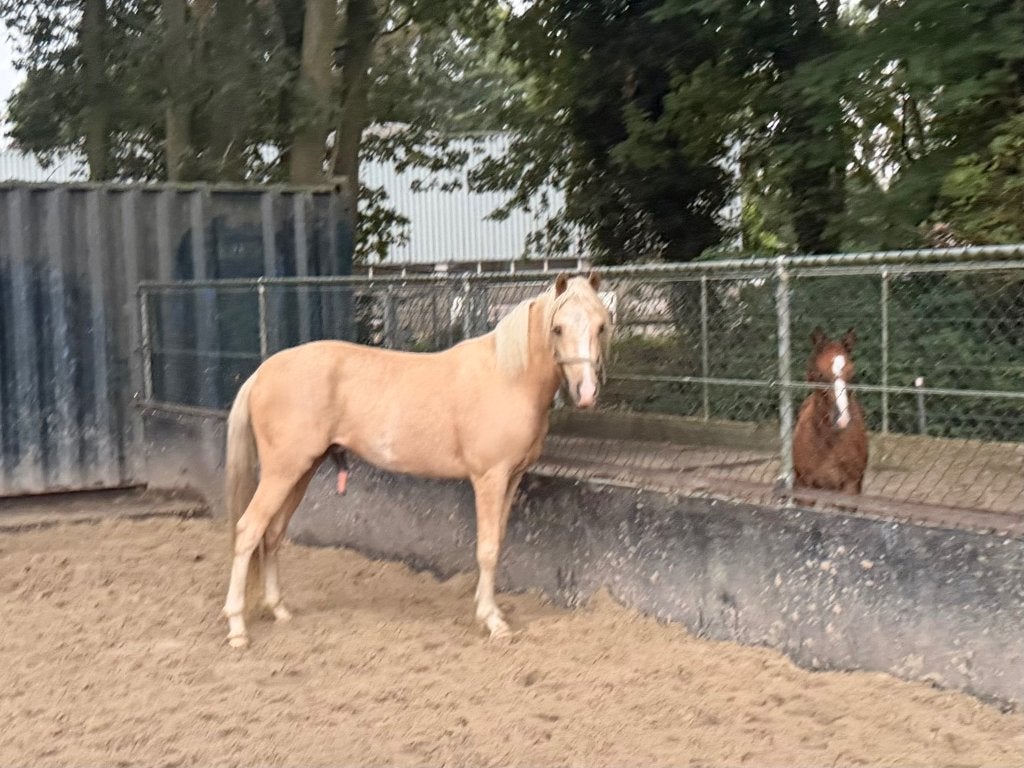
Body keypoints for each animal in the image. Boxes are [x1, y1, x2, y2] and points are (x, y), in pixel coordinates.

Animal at [222, 272, 612, 648]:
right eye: (557, 328)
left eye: (600, 326)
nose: (586, 392)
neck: (507, 376)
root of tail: (262, 372)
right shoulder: (490, 478)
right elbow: (486, 549)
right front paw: (493, 622)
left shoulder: (512, 478)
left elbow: (498, 542)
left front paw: (489, 611)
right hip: (281, 472)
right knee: (248, 530)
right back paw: (237, 628)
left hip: (301, 472)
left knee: (272, 534)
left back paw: (279, 610)